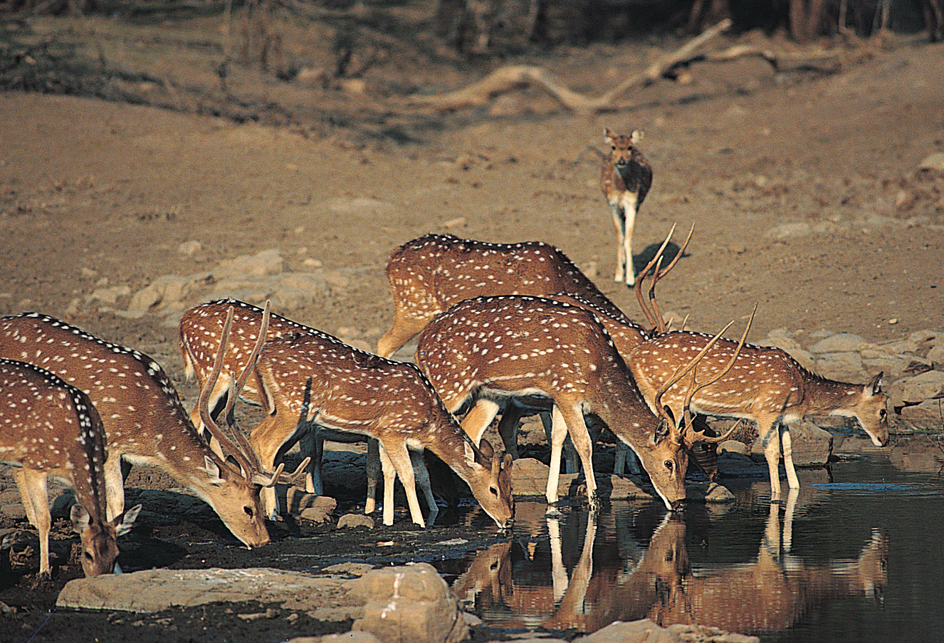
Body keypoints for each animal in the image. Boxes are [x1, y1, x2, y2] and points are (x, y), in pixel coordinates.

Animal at [0, 360, 141, 576]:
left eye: (117, 555)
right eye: (88, 555)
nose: (99, 577)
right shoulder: (34, 463)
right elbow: (45, 519)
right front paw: (44, 572)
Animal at [600, 127, 652, 288]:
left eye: (629, 147)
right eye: (613, 147)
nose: (621, 160)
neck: (621, 188)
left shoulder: (632, 203)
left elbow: (628, 238)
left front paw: (630, 278)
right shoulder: (613, 204)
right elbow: (619, 237)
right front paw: (618, 275)